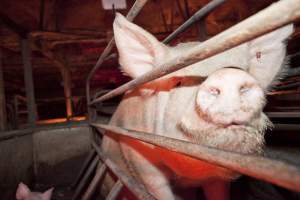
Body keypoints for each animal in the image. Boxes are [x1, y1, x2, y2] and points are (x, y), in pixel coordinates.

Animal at [102, 12, 294, 200]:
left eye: (244, 70)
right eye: (178, 82)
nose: (228, 74)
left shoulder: (216, 179)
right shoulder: (138, 156)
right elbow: (157, 188)